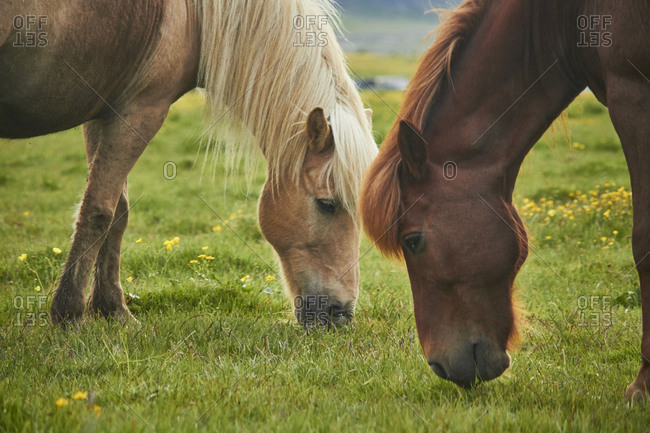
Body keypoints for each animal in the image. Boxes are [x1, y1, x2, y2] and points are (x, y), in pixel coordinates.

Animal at [0, 0, 377, 326]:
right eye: (327, 204)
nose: (341, 314)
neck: (195, 13)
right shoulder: (140, 110)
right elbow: (99, 211)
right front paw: (70, 314)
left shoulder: (103, 112)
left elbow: (117, 211)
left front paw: (112, 310)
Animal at [361, 0, 650, 400]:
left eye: (412, 240)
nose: (438, 366)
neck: (566, 19)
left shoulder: (632, 93)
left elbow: (643, 242)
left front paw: (643, 385)